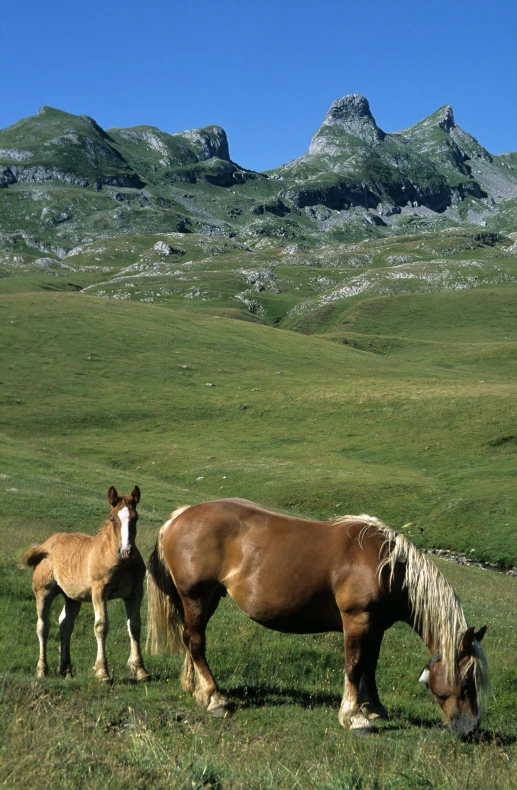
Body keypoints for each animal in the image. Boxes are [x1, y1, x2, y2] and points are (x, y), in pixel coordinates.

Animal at [20, 486, 148, 684]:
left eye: (135, 517)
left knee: (65, 626)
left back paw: (66, 670)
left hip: (72, 598)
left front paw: (140, 670)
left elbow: (134, 626)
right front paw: (102, 672)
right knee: (43, 626)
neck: (120, 561)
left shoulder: (135, 593)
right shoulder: (99, 591)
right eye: (112, 518)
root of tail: (45, 546)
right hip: (43, 592)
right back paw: (42, 670)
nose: (127, 551)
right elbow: (101, 626)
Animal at [147, 498, 490, 740]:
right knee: (196, 642)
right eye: (466, 681)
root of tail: (179, 516)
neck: (387, 565)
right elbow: (354, 666)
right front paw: (355, 717)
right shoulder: (357, 621)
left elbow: (370, 667)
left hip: (207, 599)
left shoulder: (376, 627)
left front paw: (374, 709)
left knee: (191, 639)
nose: (471, 729)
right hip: (196, 597)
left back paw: (196, 689)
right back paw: (216, 698)